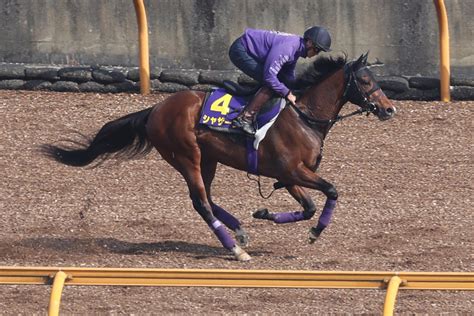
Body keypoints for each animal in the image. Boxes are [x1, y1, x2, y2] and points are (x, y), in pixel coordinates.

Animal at [42, 52, 396, 262]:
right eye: (366, 81)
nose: (389, 109)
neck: (303, 116)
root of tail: (156, 108)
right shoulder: (293, 170)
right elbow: (331, 192)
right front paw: (315, 232)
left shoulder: (287, 174)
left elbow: (308, 207)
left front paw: (264, 213)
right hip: (187, 157)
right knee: (200, 202)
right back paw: (235, 248)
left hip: (208, 160)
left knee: (207, 198)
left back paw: (238, 230)